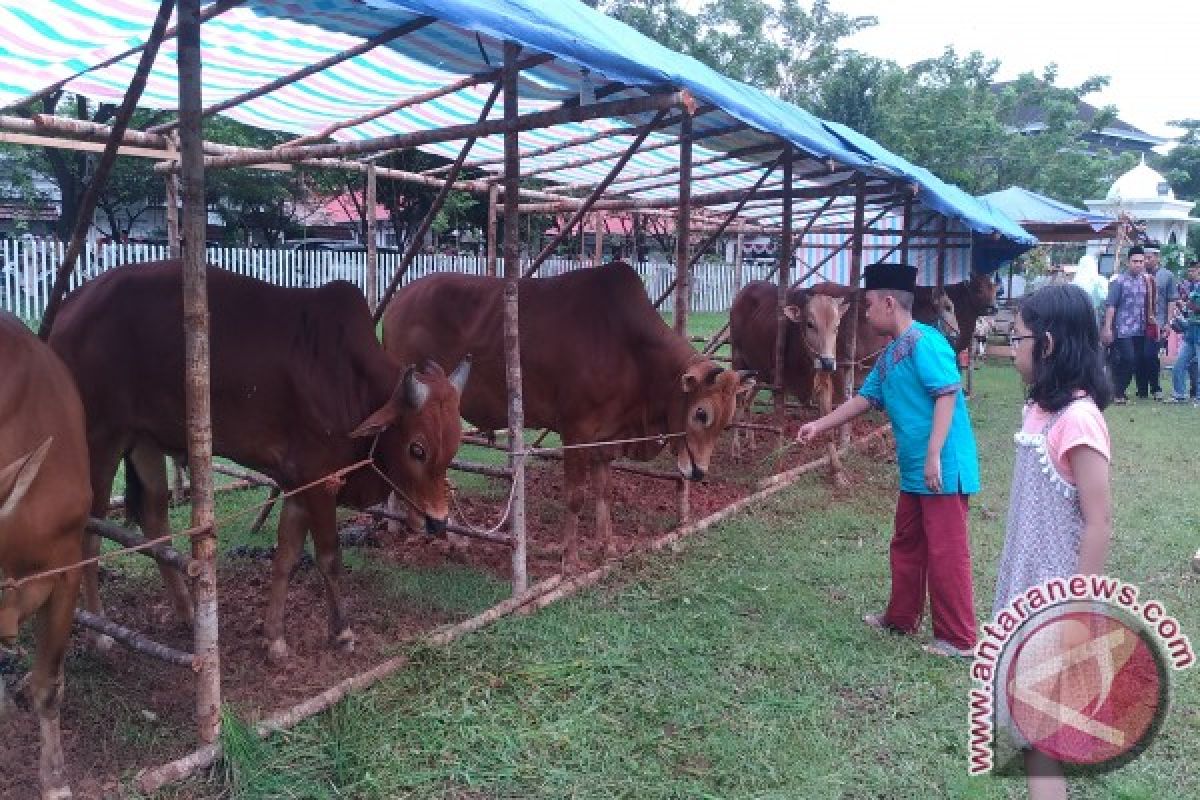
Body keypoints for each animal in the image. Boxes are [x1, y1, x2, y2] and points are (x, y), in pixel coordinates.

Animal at [54, 262, 470, 662]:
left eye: (453, 446)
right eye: (417, 448)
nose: (437, 521)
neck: (349, 381)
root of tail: (71, 304)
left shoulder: (297, 483)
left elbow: (286, 558)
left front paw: (275, 640)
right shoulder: (321, 482)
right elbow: (329, 556)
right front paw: (342, 633)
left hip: (143, 441)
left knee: (154, 517)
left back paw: (188, 613)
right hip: (101, 442)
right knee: (89, 537)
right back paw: (100, 635)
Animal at [384, 261, 748, 568]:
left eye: (726, 420)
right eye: (700, 413)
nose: (699, 472)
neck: (630, 350)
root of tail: (398, 301)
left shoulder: (606, 437)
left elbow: (604, 492)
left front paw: (608, 548)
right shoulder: (576, 431)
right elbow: (575, 497)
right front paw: (569, 560)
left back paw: (399, 525)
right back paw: (443, 536)